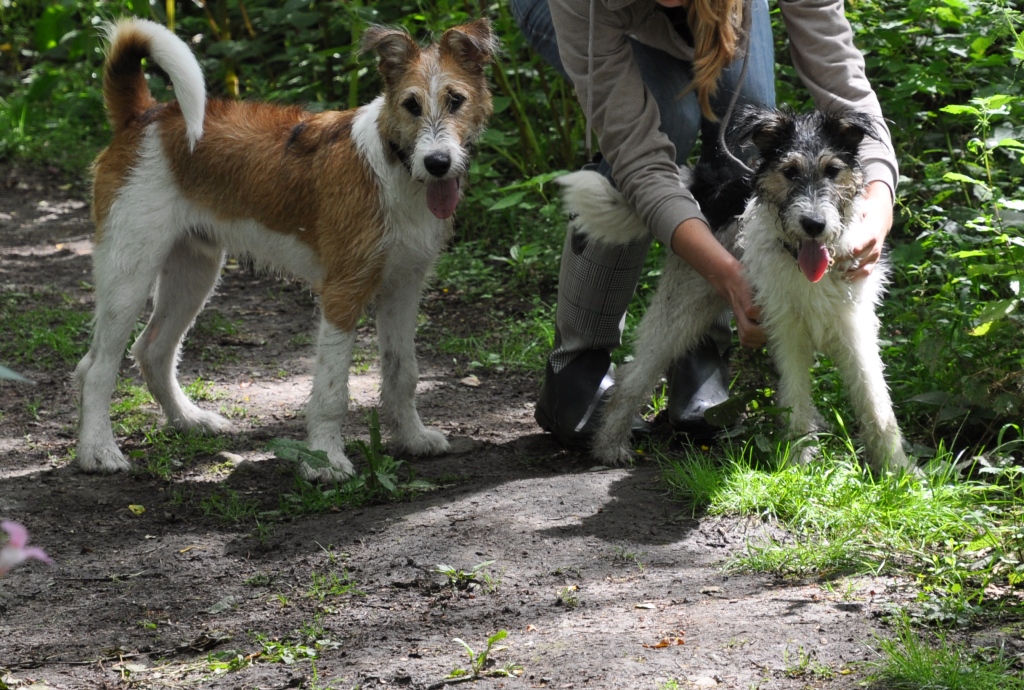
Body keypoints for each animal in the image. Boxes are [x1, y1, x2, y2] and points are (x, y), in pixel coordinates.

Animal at [74, 16, 495, 479]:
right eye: (411, 105)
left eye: (455, 100)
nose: (437, 163)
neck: (396, 167)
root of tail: (144, 115)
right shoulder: (342, 294)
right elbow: (331, 391)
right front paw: (325, 460)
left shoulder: (403, 288)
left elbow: (403, 373)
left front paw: (412, 438)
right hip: (128, 273)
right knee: (96, 368)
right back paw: (98, 451)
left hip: (193, 273)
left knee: (153, 350)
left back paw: (189, 420)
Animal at [561, 105, 913, 472]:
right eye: (789, 171)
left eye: (832, 170)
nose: (814, 224)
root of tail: (712, 188)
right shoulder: (787, 333)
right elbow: (796, 398)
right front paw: (799, 462)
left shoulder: (855, 330)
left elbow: (875, 402)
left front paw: (896, 468)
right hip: (681, 310)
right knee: (632, 378)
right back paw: (609, 444)